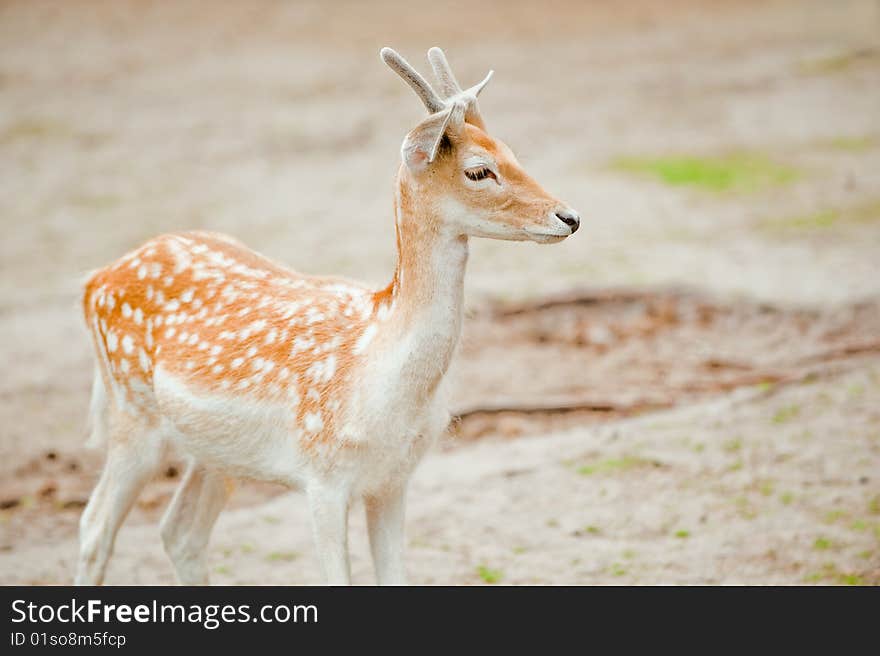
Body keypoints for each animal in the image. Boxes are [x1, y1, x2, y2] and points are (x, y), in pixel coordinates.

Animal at [75, 48, 580, 588]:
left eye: (511, 152)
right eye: (480, 171)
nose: (568, 217)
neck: (377, 377)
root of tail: (95, 280)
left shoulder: (395, 478)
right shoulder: (322, 476)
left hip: (216, 453)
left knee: (180, 531)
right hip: (133, 416)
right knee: (95, 526)